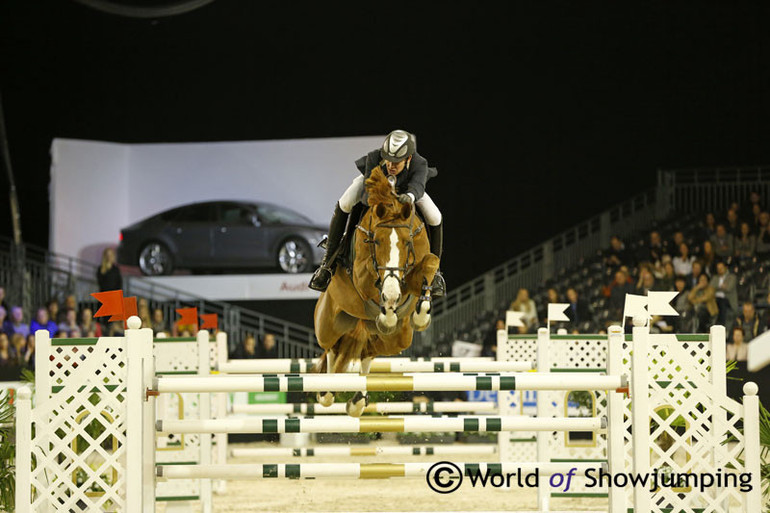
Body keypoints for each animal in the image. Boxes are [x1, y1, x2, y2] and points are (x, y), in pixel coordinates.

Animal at [314, 168, 438, 416]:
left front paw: (421, 314)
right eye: (377, 241)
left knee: (367, 353)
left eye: (407, 242)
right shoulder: (362, 273)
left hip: (399, 340)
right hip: (327, 326)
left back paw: (357, 400)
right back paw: (328, 390)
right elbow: (372, 280)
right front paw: (387, 308)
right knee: (332, 349)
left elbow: (430, 264)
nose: (392, 296)